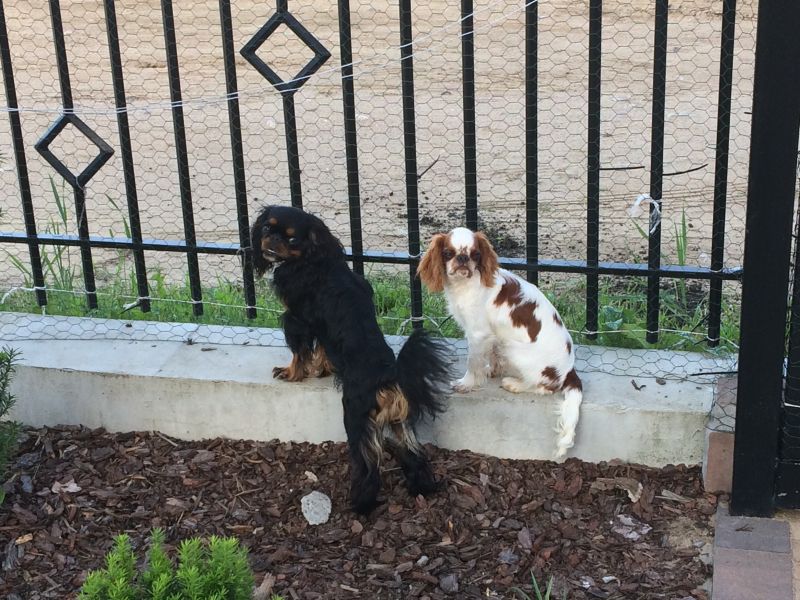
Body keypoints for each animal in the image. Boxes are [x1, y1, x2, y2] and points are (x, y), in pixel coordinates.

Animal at [250, 205, 451, 514]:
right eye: (265, 228)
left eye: (292, 239)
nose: (270, 240)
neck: (315, 259)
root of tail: (389, 374)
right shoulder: (322, 327)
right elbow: (322, 349)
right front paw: (322, 369)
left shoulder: (297, 319)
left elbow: (300, 352)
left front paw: (292, 373)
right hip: (400, 422)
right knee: (414, 456)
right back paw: (421, 489)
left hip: (356, 419)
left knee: (369, 467)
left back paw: (360, 505)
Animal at [417, 227, 583, 459]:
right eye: (448, 253)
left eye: (475, 254)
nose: (463, 258)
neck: (466, 284)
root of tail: (569, 370)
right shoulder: (492, 335)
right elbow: (491, 356)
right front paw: (491, 371)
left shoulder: (477, 334)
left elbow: (473, 362)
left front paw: (467, 383)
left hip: (513, 348)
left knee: (545, 386)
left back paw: (514, 384)